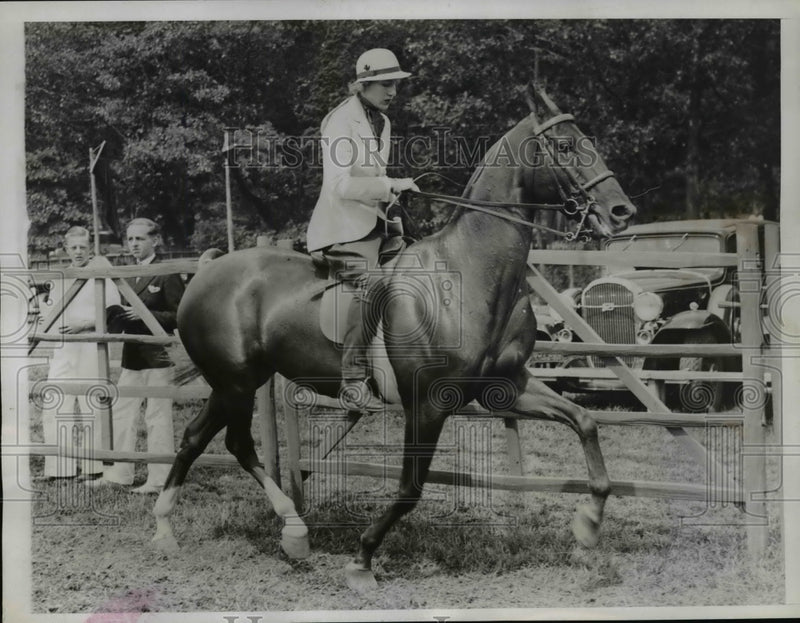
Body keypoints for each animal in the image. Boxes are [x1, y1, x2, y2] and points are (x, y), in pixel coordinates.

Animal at [151, 85, 636, 591]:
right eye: (564, 145)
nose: (622, 212)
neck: (469, 273)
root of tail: (206, 271)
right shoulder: (428, 403)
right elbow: (409, 488)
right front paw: (362, 558)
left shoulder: (505, 387)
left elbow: (584, 421)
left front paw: (588, 524)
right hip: (236, 382)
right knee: (232, 443)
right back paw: (276, 530)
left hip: (236, 383)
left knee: (203, 439)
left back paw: (193, 529)